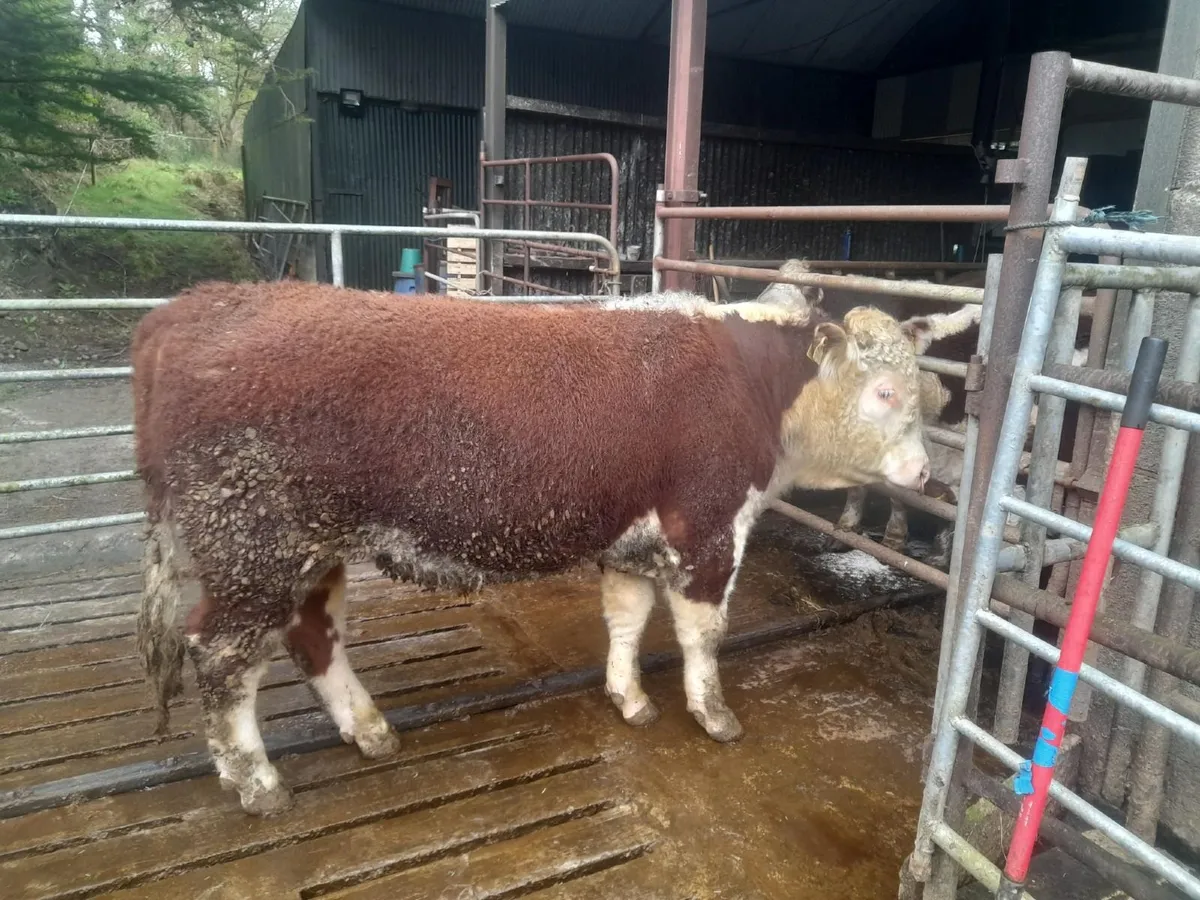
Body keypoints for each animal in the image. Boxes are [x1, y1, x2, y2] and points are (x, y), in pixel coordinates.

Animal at [133, 280, 937, 816]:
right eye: (885, 393)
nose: (925, 473)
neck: (755, 384)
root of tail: (187, 310)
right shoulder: (709, 529)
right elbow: (702, 634)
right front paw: (714, 716)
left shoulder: (630, 537)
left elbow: (626, 618)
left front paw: (629, 698)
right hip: (251, 546)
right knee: (222, 659)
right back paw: (258, 782)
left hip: (305, 548)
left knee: (312, 634)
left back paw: (370, 732)